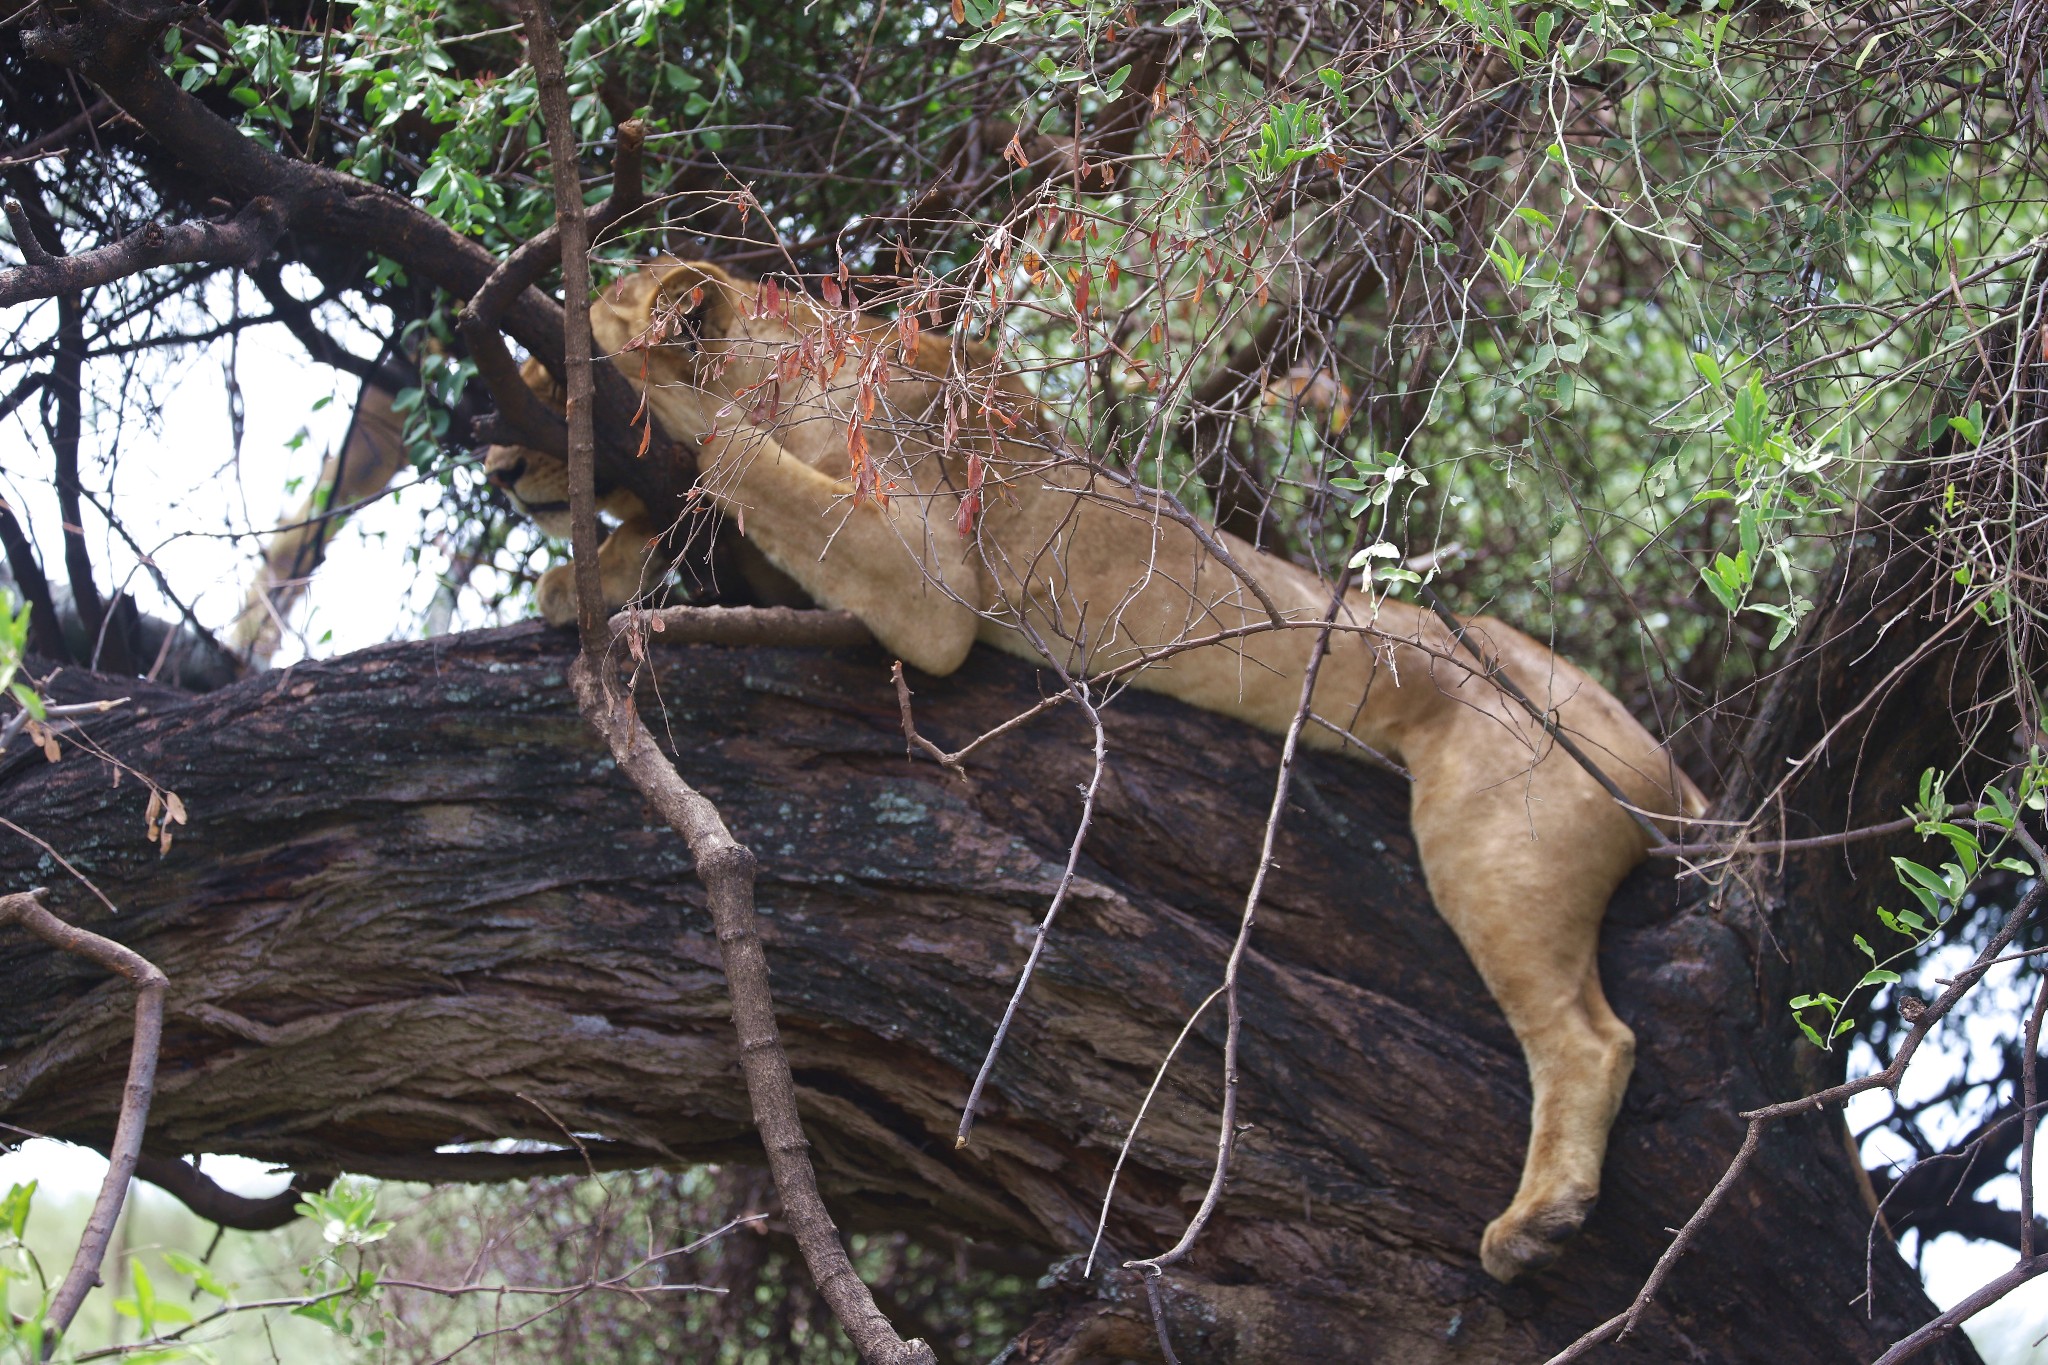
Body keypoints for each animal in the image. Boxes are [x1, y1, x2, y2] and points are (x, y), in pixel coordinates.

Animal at [471, 255, 1703, 1285]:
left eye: (552, 360)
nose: (491, 460)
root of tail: (1654, 748)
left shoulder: (927, 577)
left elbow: (738, 458)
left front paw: (673, 438)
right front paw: (590, 570)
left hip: (1491, 837)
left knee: (1589, 1038)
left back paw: (1534, 1222)